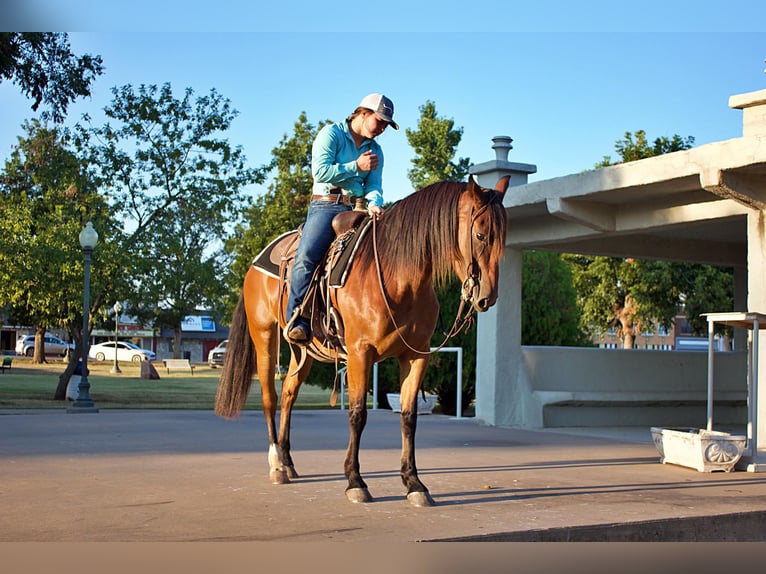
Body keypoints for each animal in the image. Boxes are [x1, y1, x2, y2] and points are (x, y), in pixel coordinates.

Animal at [218, 177, 510, 508]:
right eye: (480, 234)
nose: (487, 297)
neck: (398, 277)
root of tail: (256, 262)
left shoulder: (416, 355)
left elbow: (409, 417)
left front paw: (413, 483)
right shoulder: (360, 353)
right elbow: (358, 415)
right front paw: (355, 481)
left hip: (303, 351)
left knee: (289, 394)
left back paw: (289, 461)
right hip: (264, 336)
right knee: (270, 396)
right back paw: (277, 465)